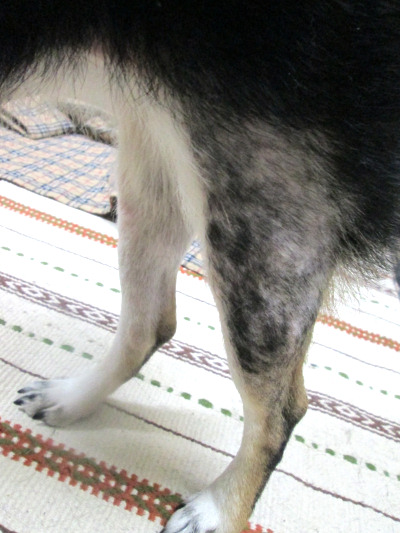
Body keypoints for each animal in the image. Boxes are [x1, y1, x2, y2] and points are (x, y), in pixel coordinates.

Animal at [4, 2, 400, 532]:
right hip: (161, 152)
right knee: (148, 326)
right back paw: (73, 398)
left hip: (258, 220)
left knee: (281, 410)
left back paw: (220, 506)